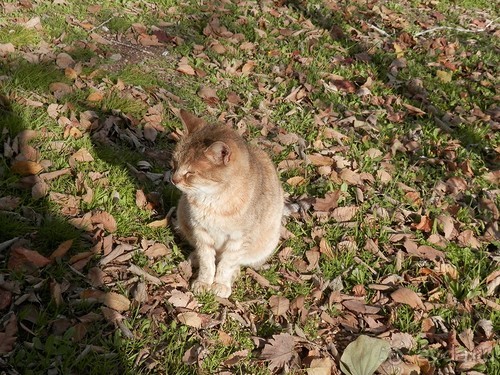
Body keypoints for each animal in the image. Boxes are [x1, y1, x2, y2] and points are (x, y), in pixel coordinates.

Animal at [171, 110, 282, 298]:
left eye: (190, 173)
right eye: (174, 162)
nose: (173, 179)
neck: (213, 200)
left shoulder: (238, 239)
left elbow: (227, 263)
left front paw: (221, 284)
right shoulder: (200, 231)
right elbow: (207, 261)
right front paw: (204, 282)